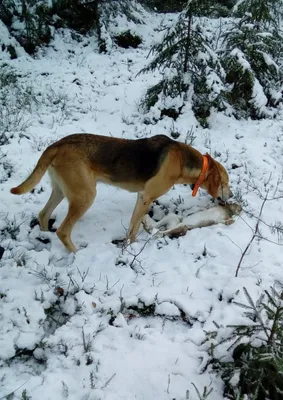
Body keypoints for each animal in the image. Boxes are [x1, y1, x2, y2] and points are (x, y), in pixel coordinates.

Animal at [10, 134, 233, 253]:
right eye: (226, 183)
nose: (231, 197)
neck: (184, 162)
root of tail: (57, 144)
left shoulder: (141, 197)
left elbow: (134, 224)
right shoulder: (146, 197)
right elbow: (134, 229)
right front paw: (132, 247)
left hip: (61, 191)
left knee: (43, 215)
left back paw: (45, 238)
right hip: (85, 196)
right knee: (63, 231)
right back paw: (76, 253)